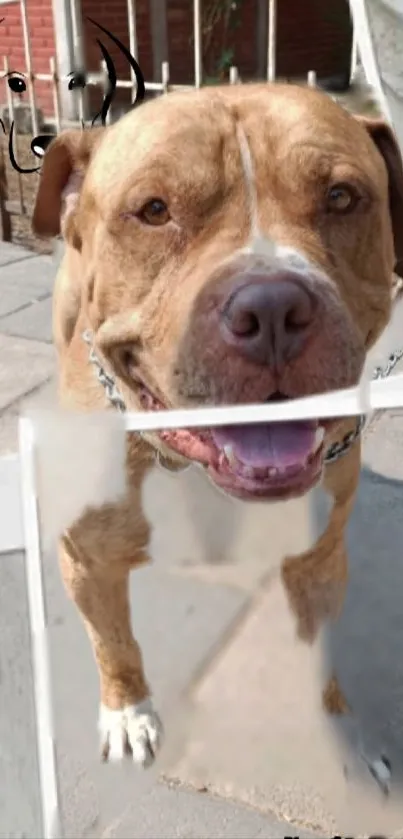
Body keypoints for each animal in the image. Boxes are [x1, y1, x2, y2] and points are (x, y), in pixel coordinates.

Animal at [32, 82, 403, 776]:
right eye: (154, 211)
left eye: (341, 197)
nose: (273, 308)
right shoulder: (88, 562)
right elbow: (112, 642)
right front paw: (127, 711)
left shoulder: (320, 557)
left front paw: (343, 729)